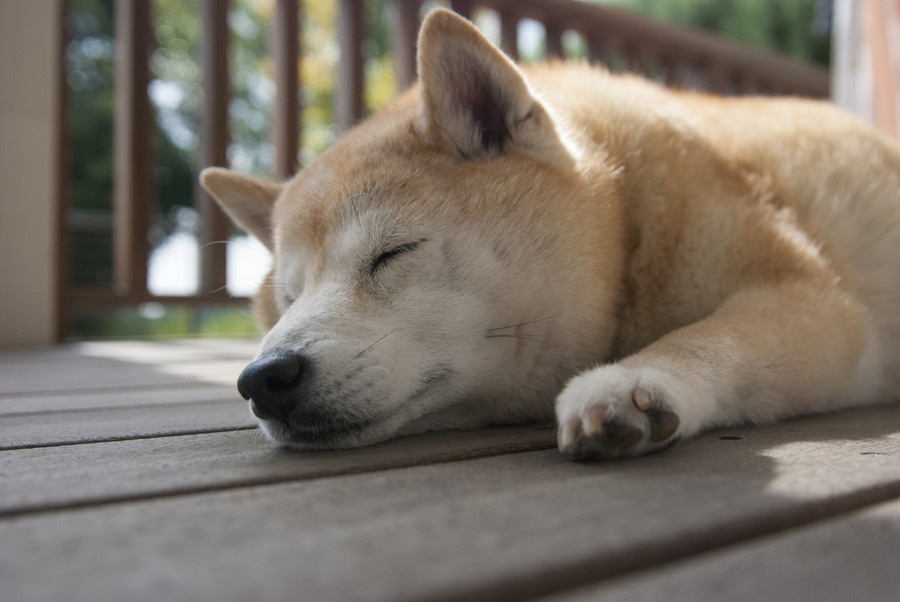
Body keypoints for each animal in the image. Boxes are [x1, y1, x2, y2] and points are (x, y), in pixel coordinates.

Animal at [202, 9, 900, 460]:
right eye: (287, 300)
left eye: (392, 254)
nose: (262, 378)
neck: (627, 228)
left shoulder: (816, 302)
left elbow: (710, 338)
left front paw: (633, 383)